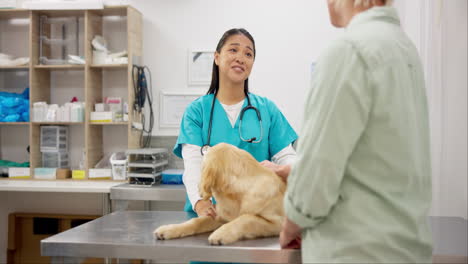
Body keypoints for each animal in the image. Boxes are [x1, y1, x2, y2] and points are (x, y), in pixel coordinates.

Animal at [154, 143, 286, 244]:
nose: (198, 186)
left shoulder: (278, 223)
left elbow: (246, 218)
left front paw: (221, 233)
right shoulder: (219, 216)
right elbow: (196, 221)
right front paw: (169, 229)